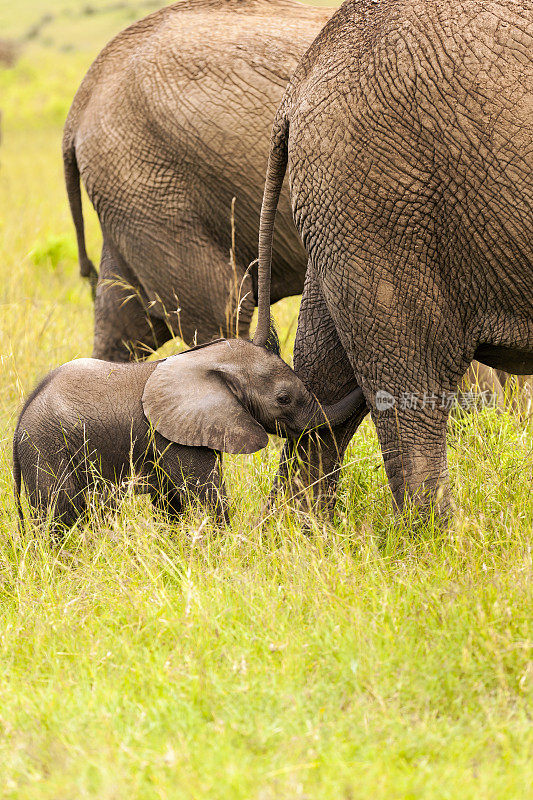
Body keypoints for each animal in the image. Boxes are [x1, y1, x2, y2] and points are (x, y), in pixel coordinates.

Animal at [13, 340, 362, 532]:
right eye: (283, 399)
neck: (207, 360)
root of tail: (17, 428)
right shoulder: (173, 433)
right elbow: (206, 496)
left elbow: (172, 503)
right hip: (46, 446)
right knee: (59, 512)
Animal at [256, 0, 528, 520]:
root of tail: (298, 83)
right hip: (385, 202)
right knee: (413, 384)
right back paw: (442, 537)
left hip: (345, 216)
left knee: (324, 374)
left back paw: (294, 533)